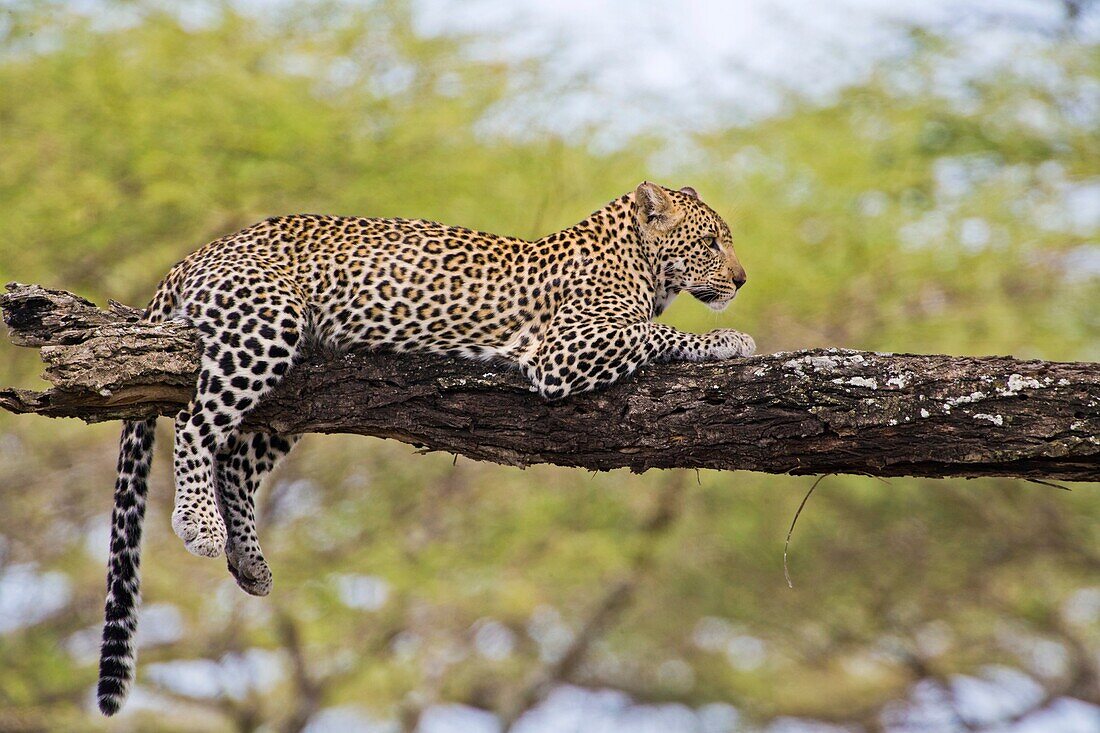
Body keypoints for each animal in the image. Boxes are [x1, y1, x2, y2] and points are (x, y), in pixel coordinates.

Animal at [96, 179, 756, 708]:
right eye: (712, 242)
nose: (741, 279)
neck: (640, 261)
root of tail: (199, 251)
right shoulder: (565, 351)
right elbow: (659, 333)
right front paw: (727, 340)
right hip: (266, 326)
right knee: (195, 422)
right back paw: (199, 525)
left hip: (291, 388)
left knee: (234, 458)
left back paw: (250, 560)